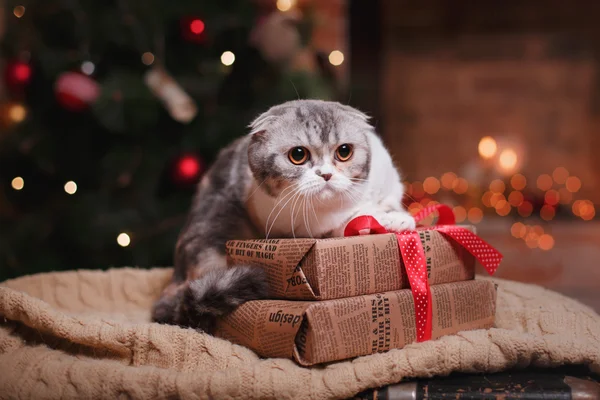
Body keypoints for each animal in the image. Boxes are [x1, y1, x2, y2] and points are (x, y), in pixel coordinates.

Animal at [154, 99, 418, 332]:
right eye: (298, 155)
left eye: (344, 151)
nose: (326, 174)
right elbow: (348, 222)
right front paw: (376, 218)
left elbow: (385, 203)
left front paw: (395, 217)